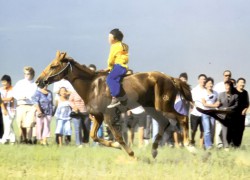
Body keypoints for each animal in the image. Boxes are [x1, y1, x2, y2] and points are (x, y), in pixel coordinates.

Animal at [35, 50, 191, 158]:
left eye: (53, 66)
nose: (38, 81)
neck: (92, 86)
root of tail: (170, 78)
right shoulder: (98, 116)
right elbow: (94, 135)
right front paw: (116, 146)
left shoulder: (108, 116)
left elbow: (118, 136)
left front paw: (131, 154)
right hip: (153, 109)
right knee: (164, 123)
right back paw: (154, 150)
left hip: (164, 106)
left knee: (182, 118)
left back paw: (189, 146)